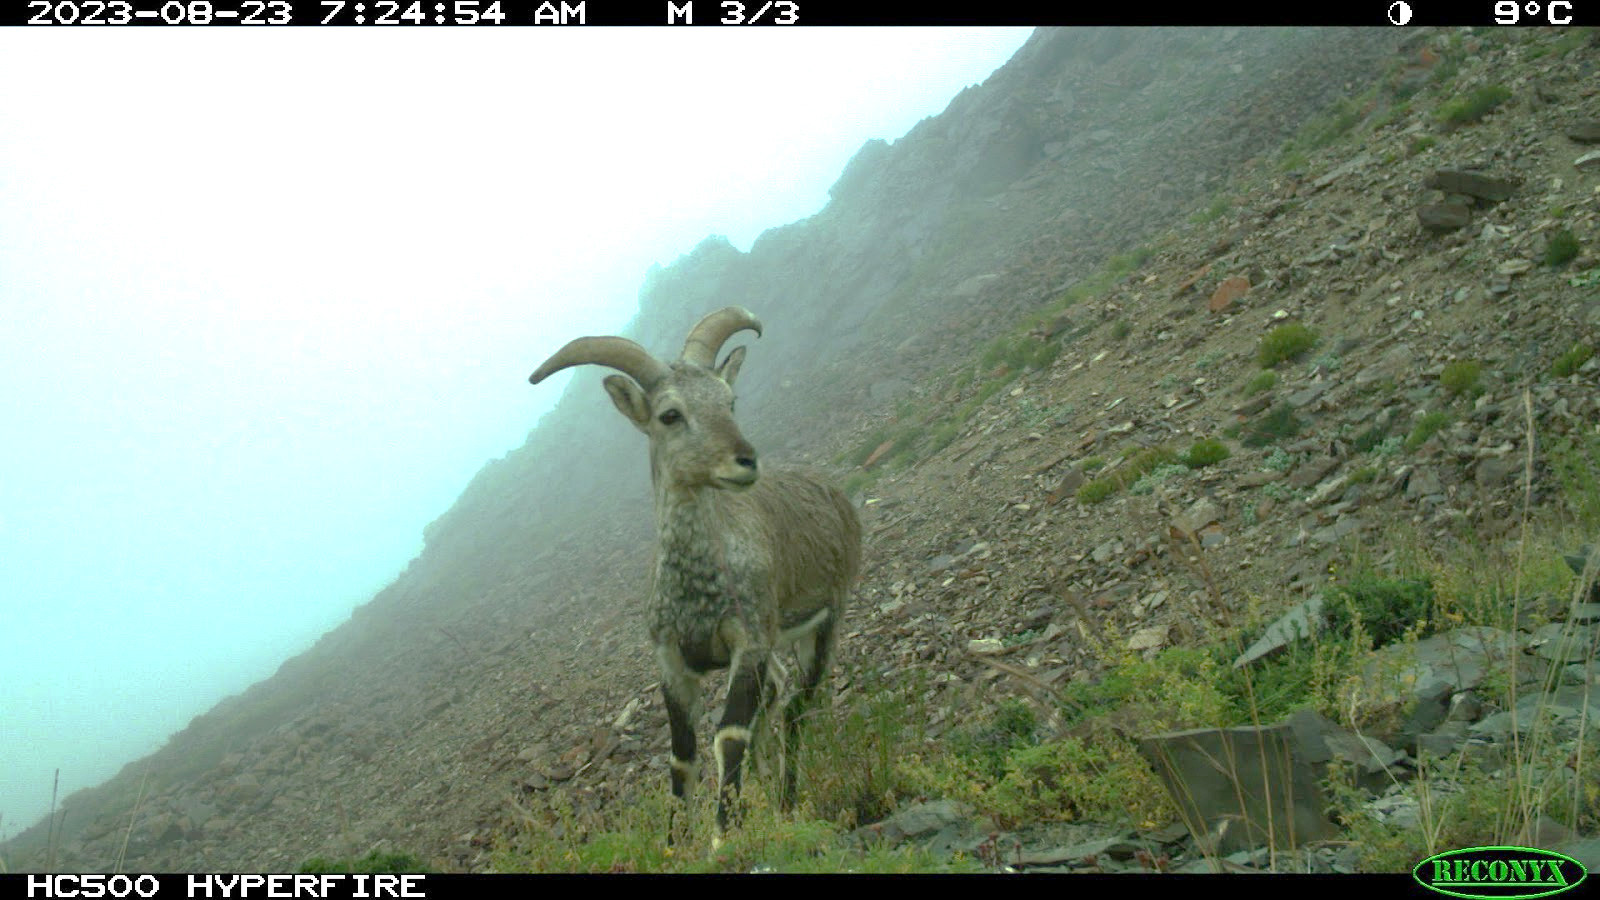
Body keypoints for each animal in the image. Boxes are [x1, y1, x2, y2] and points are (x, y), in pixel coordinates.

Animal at [528, 306, 862, 841]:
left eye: (730, 401)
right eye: (670, 414)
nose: (745, 460)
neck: (697, 587)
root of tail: (836, 496)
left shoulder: (749, 642)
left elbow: (729, 736)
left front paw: (723, 837)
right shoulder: (671, 661)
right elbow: (682, 758)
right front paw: (674, 843)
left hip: (827, 618)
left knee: (796, 707)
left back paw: (787, 798)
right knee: (779, 696)